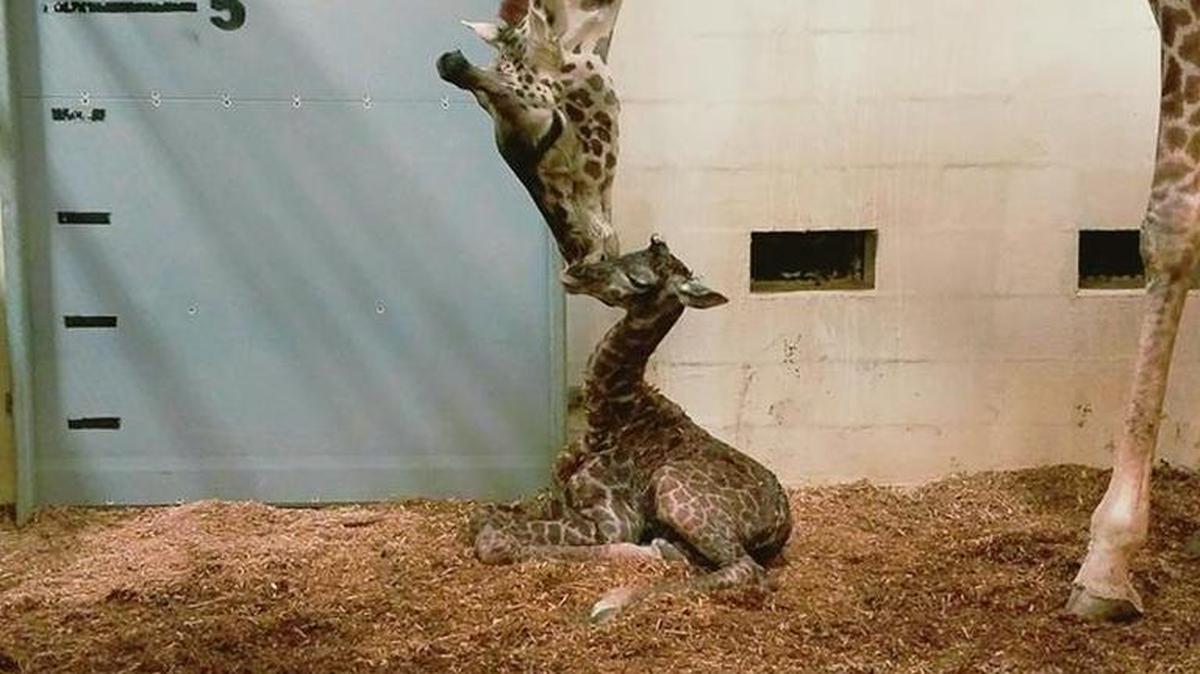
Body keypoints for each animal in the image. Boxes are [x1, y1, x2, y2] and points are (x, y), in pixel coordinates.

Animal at [471, 237, 794, 622]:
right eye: (627, 253)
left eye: (639, 280)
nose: (575, 272)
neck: (606, 421)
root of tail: (782, 523)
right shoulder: (557, 501)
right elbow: (484, 514)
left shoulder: (610, 521)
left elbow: (492, 537)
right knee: (681, 555)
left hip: (671, 485)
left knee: (746, 569)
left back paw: (611, 602)